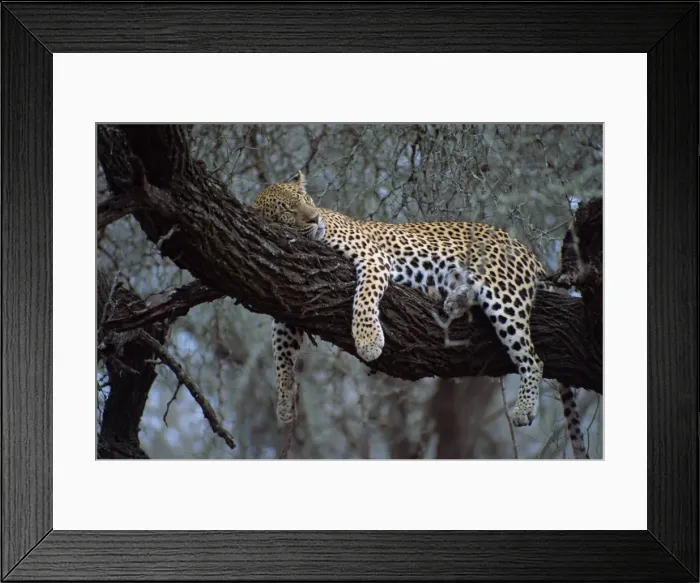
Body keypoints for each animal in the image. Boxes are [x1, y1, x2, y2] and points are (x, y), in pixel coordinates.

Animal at [252, 171, 564, 436]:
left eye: (306, 200)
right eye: (288, 210)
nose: (315, 219)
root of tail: (524, 248)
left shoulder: (373, 258)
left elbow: (364, 298)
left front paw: (368, 339)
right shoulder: (286, 299)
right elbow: (281, 353)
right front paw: (284, 403)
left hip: (503, 291)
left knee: (533, 358)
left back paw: (524, 408)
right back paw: (455, 300)